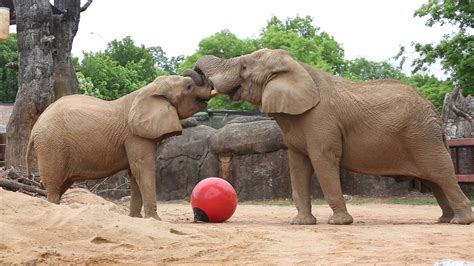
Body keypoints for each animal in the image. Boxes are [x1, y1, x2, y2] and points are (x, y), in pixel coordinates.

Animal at [25, 69, 215, 219]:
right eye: (189, 87)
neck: (149, 90)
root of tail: (34, 129)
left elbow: (134, 172)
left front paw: (136, 218)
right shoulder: (135, 135)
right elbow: (143, 168)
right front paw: (155, 220)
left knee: (60, 186)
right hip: (51, 145)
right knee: (53, 186)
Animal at [193, 48, 474, 224]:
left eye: (243, 66)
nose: (194, 72)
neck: (297, 67)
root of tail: (435, 114)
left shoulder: (321, 121)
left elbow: (322, 161)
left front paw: (339, 222)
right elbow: (298, 165)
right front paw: (301, 224)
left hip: (422, 137)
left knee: (441, 174)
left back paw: (460, 221)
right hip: (422, 136)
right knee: (435, 182)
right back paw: (445, 219)